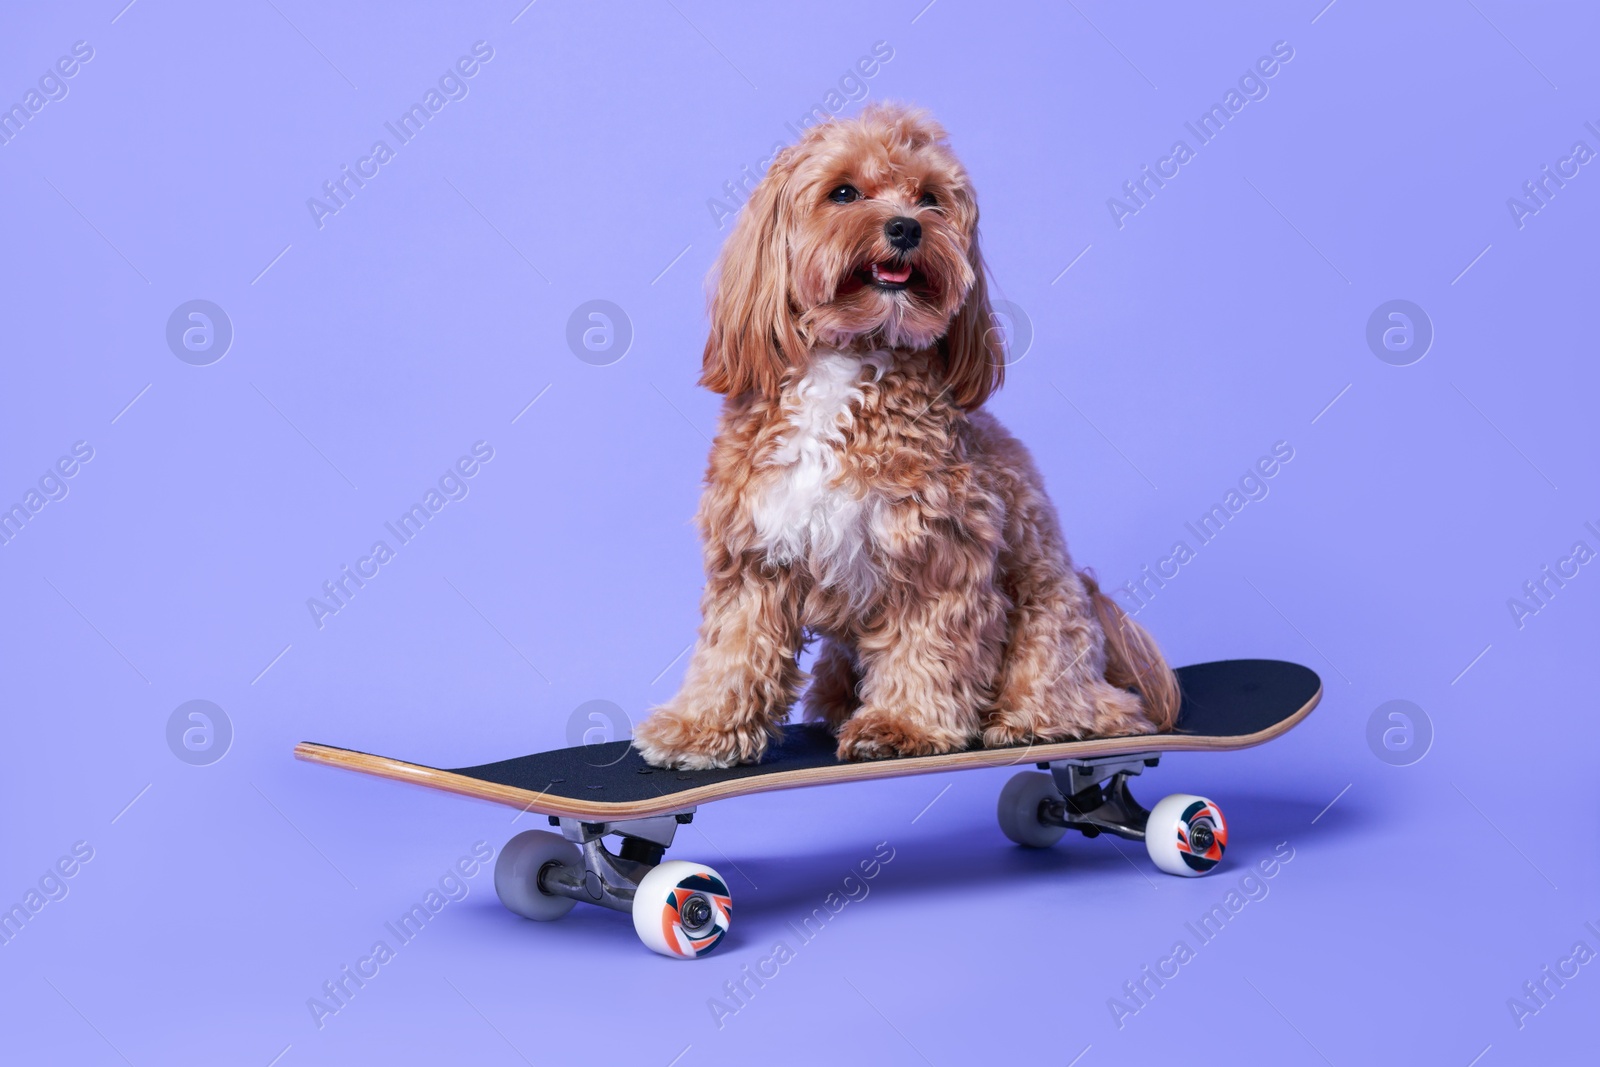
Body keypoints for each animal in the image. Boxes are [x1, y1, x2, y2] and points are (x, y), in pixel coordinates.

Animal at [633, 106, 1177, 767]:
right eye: (844, 192)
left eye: (931, 199)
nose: (906, 228)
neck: (846, 361)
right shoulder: (752, 552)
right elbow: (734, 649)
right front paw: (703, 727)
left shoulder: (937, 551)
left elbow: (925, 647)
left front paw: (903, 725)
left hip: (1051, 617)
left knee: (1082, 696)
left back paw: (1031, 720)